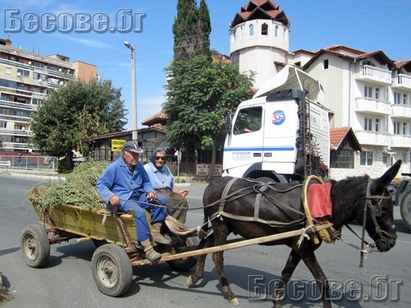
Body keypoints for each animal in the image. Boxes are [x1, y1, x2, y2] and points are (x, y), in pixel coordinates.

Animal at [188, 161, 400, 308]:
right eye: (383, 209)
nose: (391, 242)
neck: (323, 203)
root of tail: (212, 184)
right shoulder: (304, 247)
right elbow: (322, 280)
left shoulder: (299, 245)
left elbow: (287, 272)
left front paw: (276, 300)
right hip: (221, 225)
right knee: (217, 256)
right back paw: (229, 292)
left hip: (228, 226)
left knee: (204, 245)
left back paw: (195, 276)